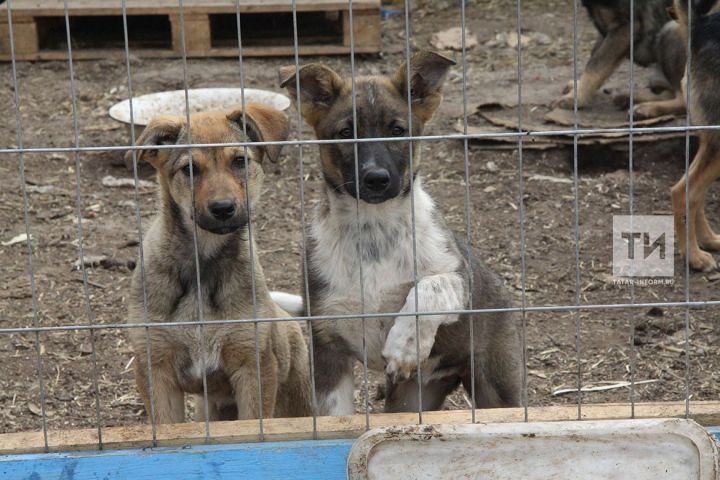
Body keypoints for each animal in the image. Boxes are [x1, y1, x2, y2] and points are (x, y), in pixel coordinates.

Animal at [127, 103, 312, 422]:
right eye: (189, 169)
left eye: (239, 161)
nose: (223, 208)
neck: (202, 264)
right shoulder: (156, 371)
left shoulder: (253, 367)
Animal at [274, 50, 516, 414]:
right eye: (345, 133)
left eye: (398, 130)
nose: (376, 178)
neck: (374, 228)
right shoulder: (329, 350)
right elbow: (337, 417)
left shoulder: (460, 279)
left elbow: (430, 285)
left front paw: (405, 346)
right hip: (410, 399)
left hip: (497, 384)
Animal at [556, 0, 688, 118]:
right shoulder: (607, 32)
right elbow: (596, 59)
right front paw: (577, 86)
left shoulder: (625, 27)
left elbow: (596, 64)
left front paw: (576, 97)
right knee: (669, 93)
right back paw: (629, 98)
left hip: (671, 30)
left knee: (683, 100)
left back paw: (647, 108)